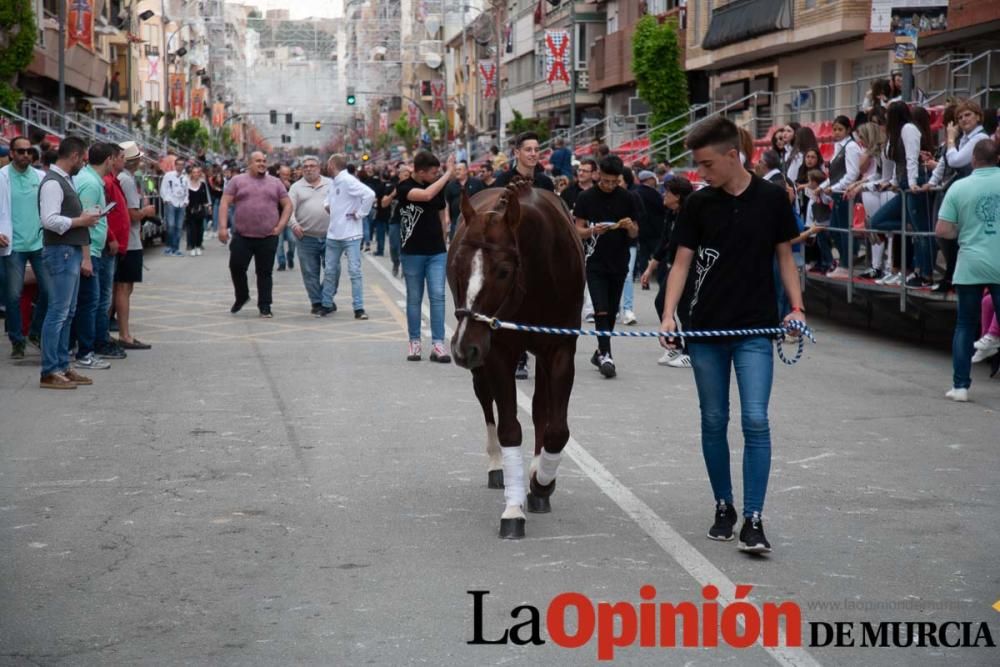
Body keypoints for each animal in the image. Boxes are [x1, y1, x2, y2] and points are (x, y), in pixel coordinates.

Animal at [448, 181, 584, 536]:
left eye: (504, 270)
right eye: (456, 267)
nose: (462, 347)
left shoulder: (560, 349)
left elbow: (555, 428)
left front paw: (541, 482)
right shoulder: (496, 350)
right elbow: (509, 427)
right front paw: (513, 508)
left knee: (539, 407)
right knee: (487, 402)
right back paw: (498, 467)